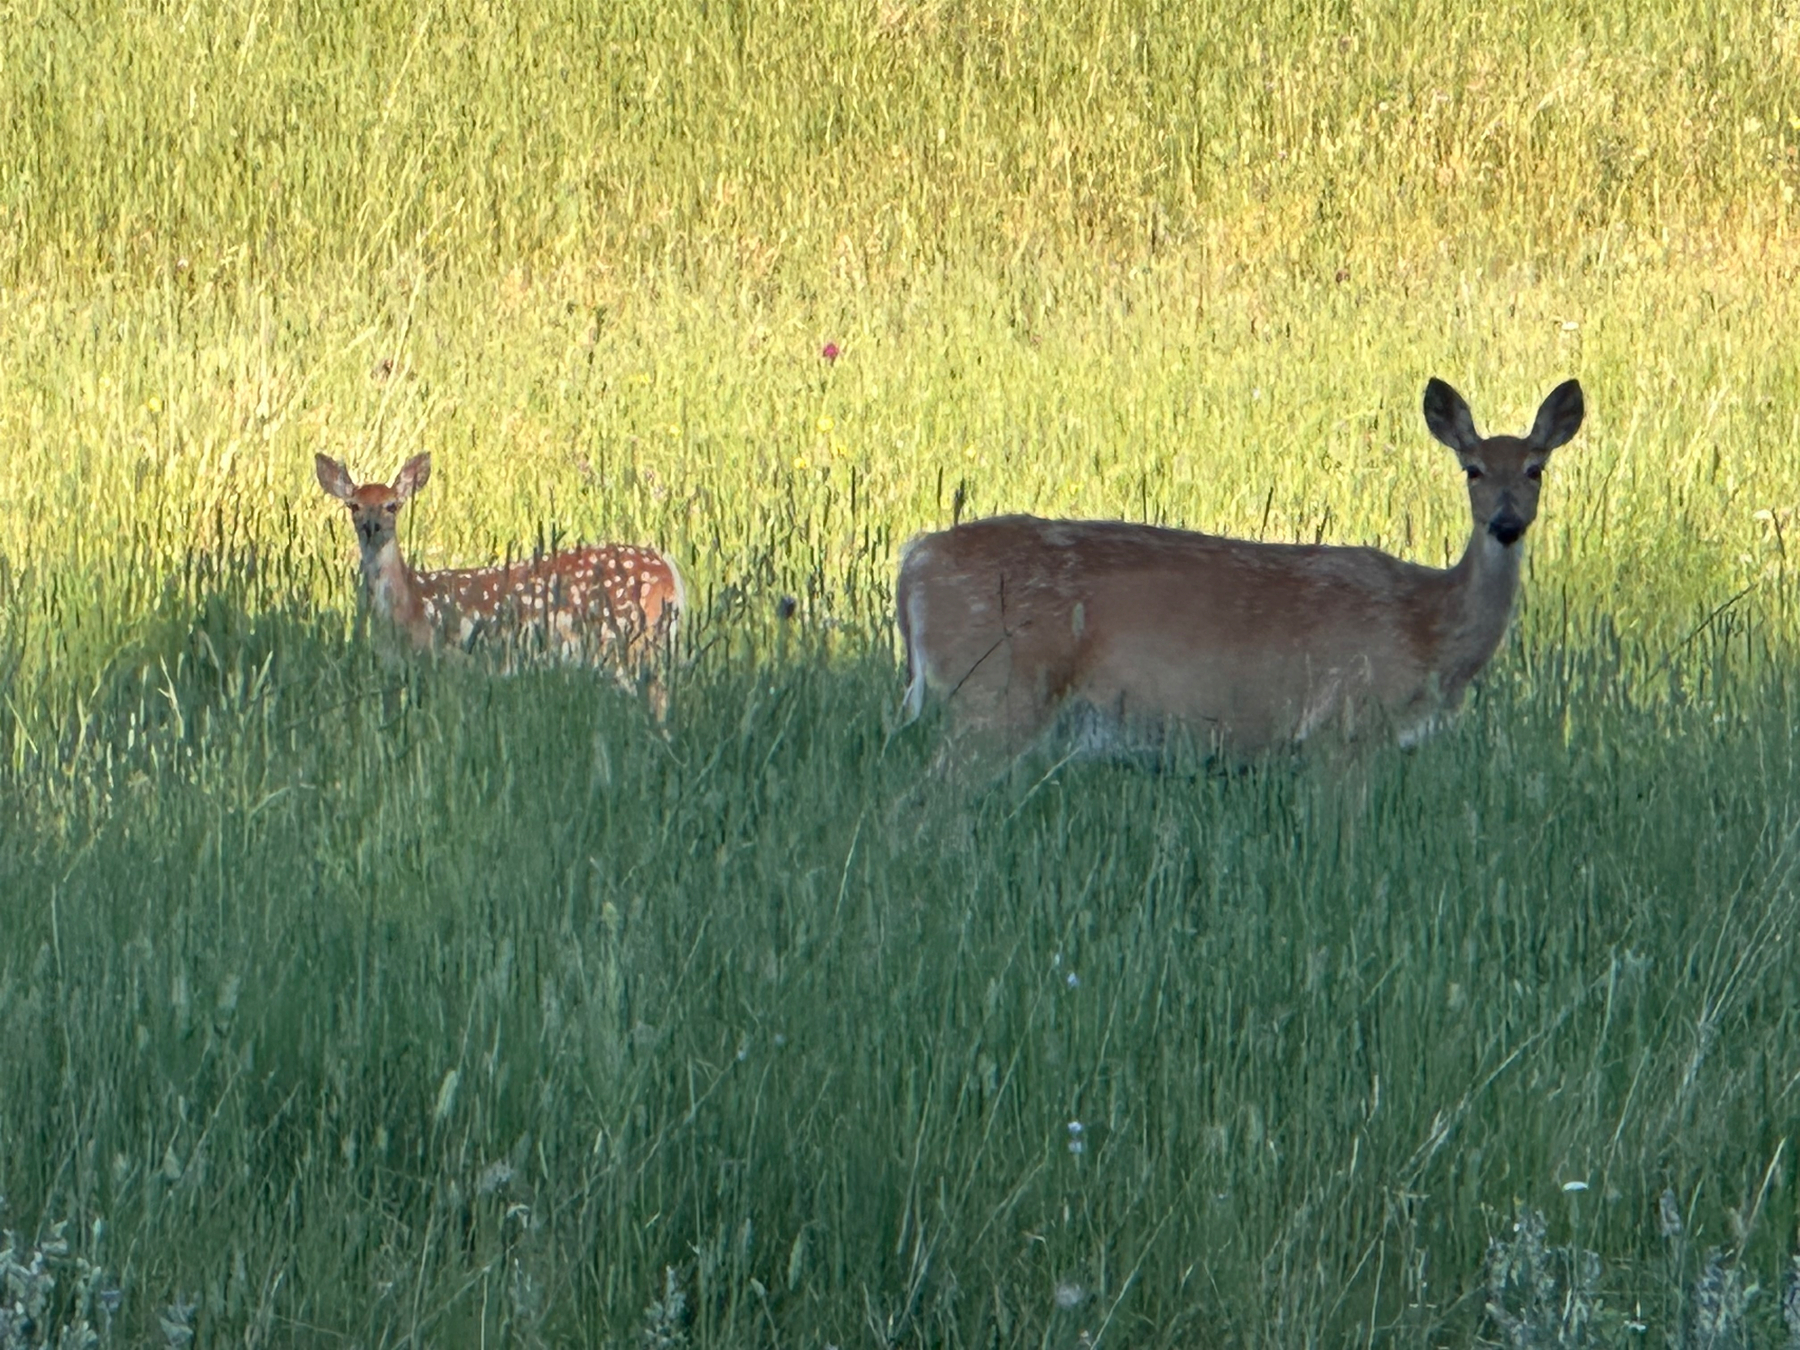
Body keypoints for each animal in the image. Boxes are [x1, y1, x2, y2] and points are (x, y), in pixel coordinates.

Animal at [315, 452, 684, 712]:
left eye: (393, 505)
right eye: (353, 506)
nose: (371, 527)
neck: (410, 606)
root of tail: (670, 574)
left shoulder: (456, 664)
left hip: (626, 645)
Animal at [895, 377, 1584, 763]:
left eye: (1535, 469)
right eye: (1472, 469)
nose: (1505, 524)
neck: (1428, 624)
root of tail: (914, 562)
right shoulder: (1343, 725)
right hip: (995, 692)